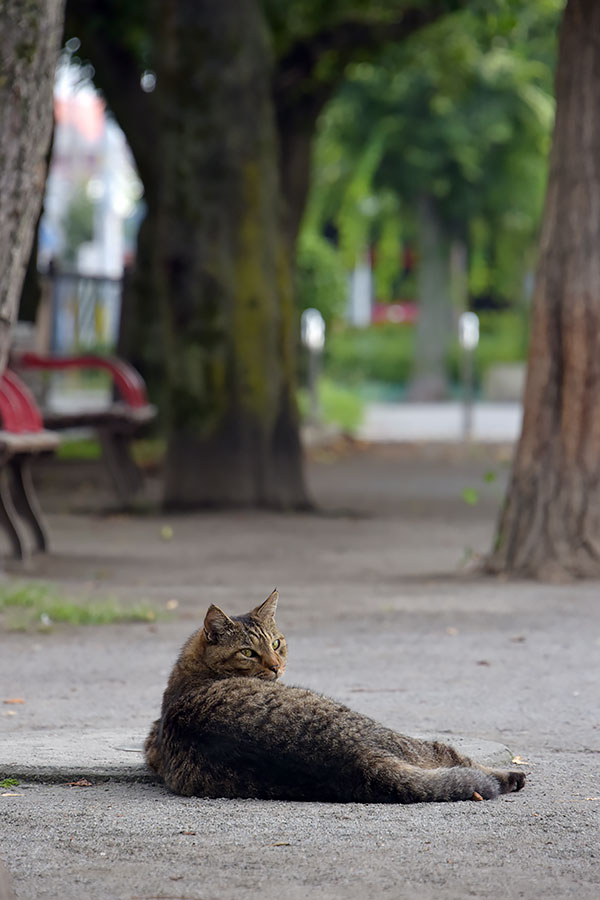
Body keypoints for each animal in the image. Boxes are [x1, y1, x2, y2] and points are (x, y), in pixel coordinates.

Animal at [145, 592, 524, 800]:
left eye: (276, 643)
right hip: (406, 740)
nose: (276, 667)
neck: (192, 672)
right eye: (248, 653)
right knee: (456, 759)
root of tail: (356, 758)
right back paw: (509, 777)